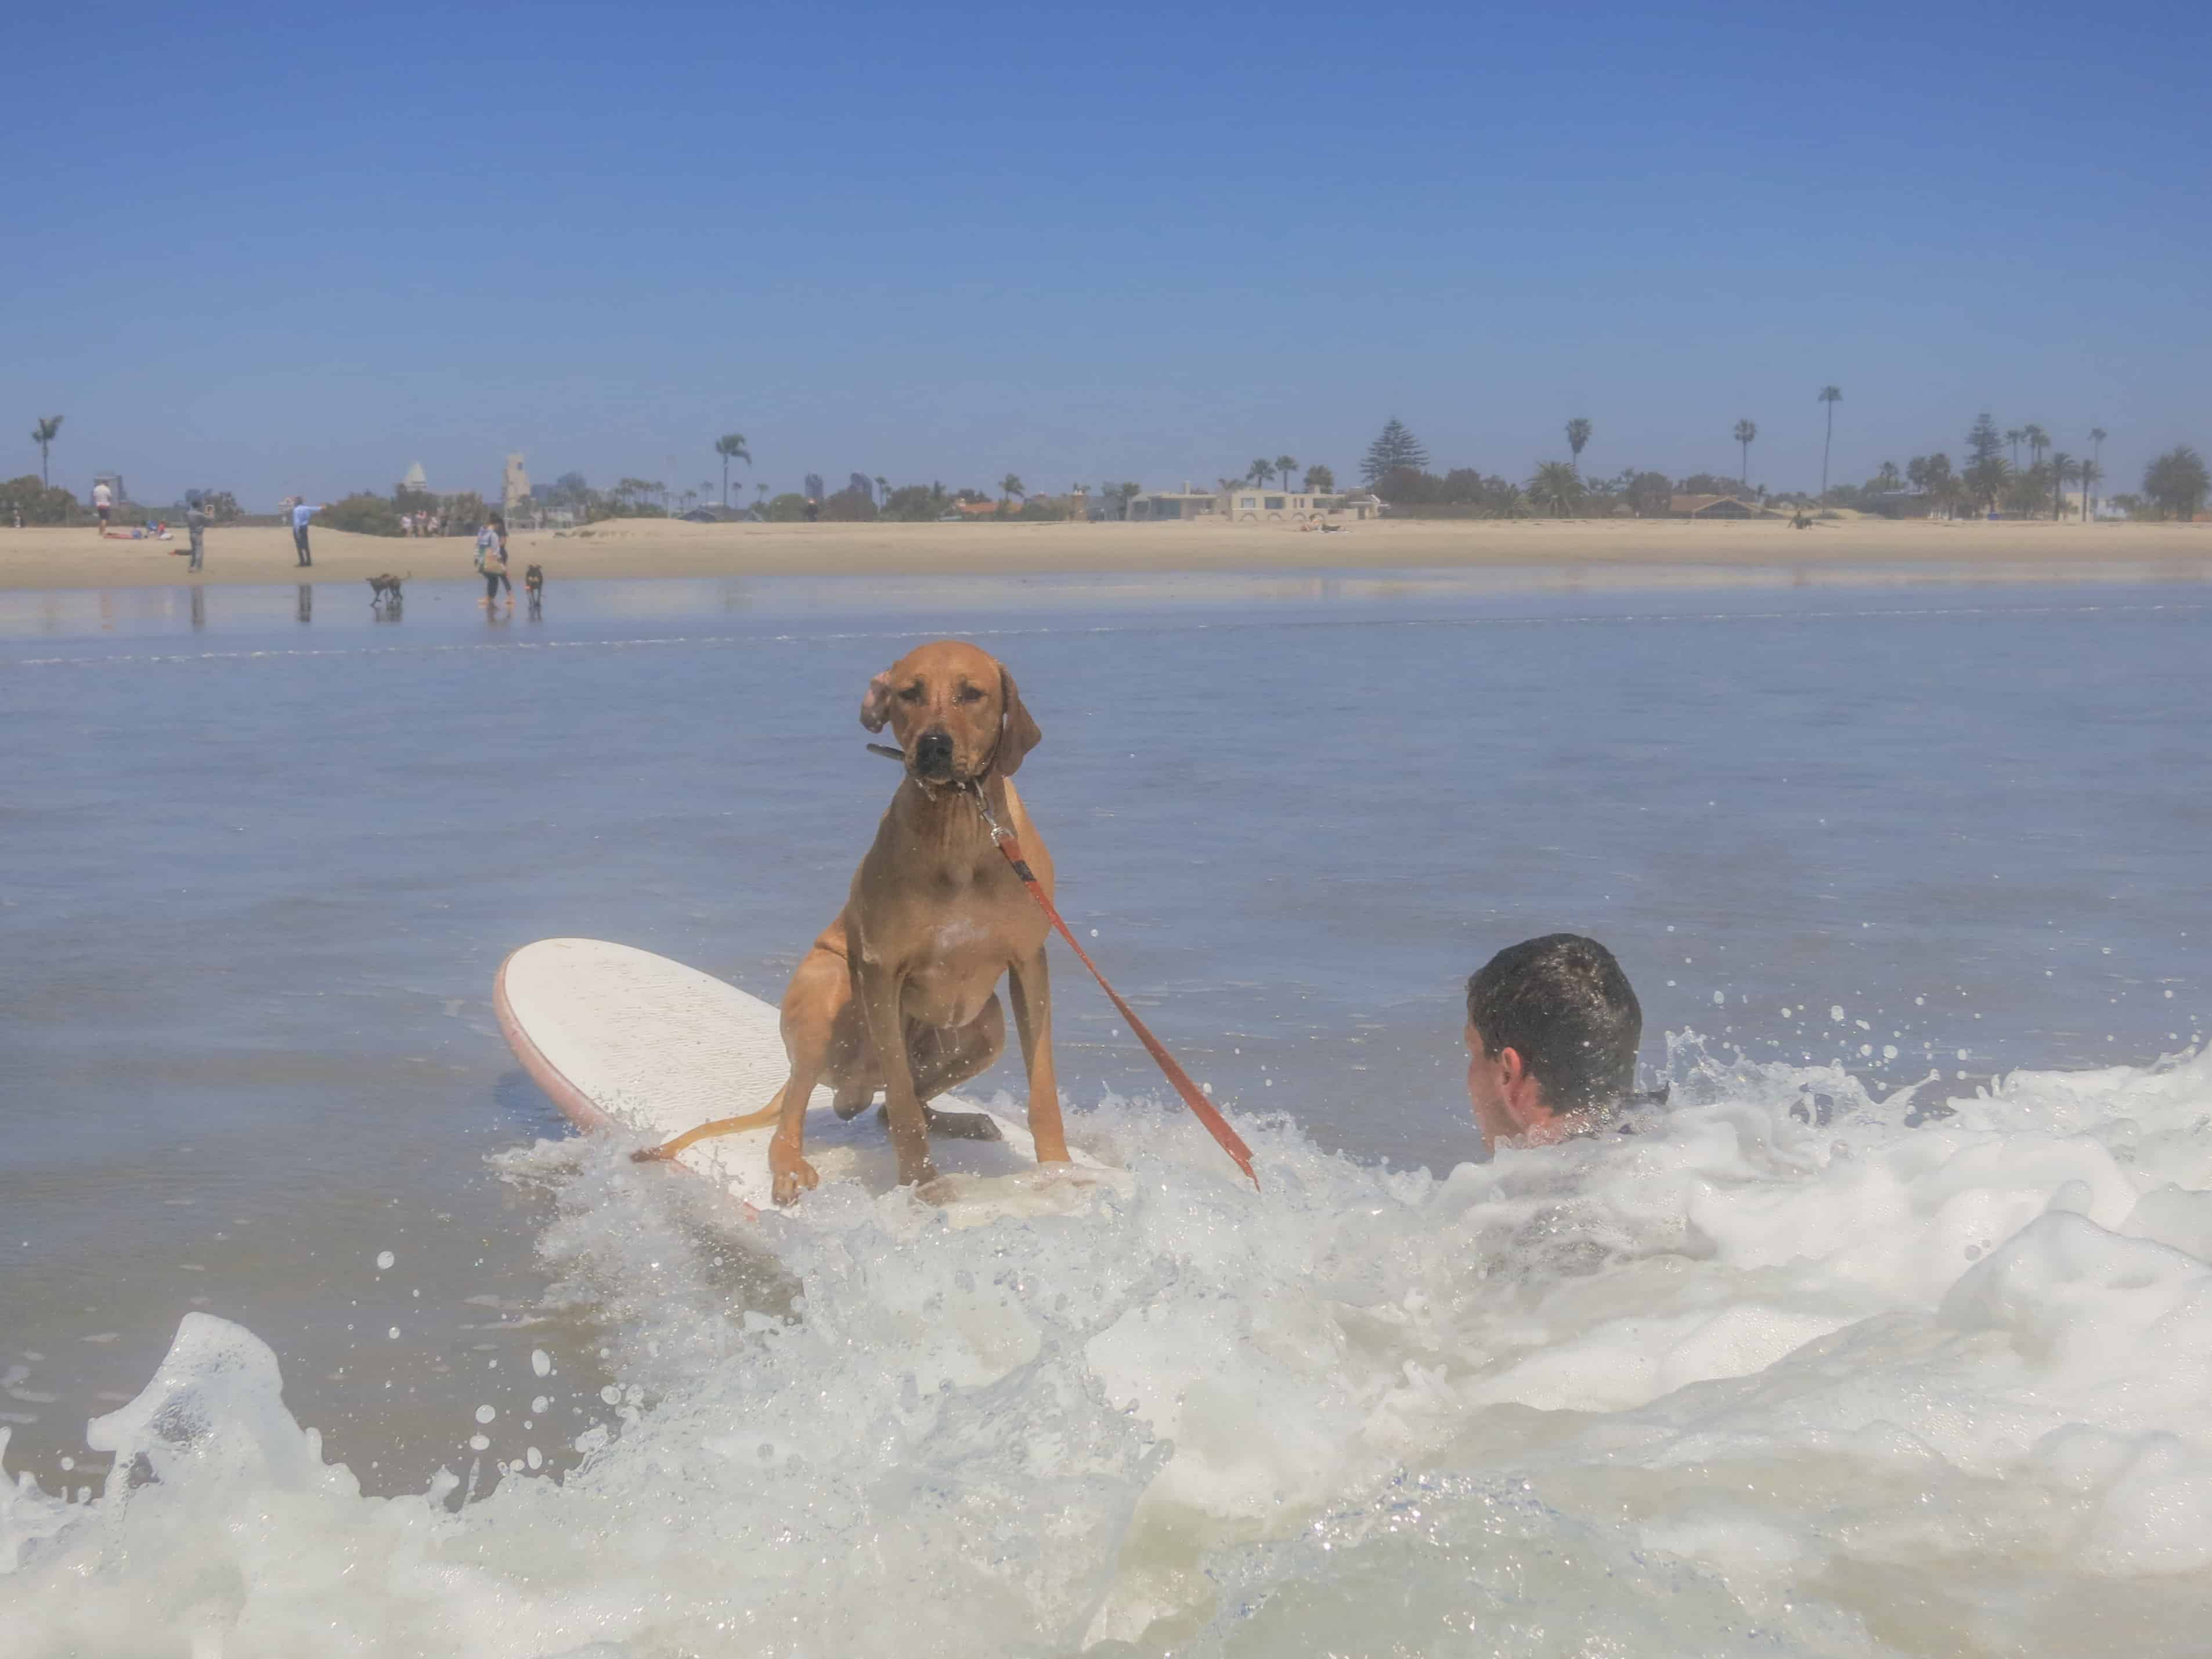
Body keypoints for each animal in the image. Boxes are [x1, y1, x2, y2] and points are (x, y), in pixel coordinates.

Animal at [632, 641, 1062, 1212]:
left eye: (973, 693)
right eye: (909, 693)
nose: (934, 745)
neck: (960, 825)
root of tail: (851, 1088)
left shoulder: (1029, 961)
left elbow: (1042, 1089)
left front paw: (1062, 1171)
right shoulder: (880, 971)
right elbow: (902, 1103)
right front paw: (921, 1184)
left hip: (984, 1029)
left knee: (887, 1105)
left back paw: (961, 1120)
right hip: (826, 989)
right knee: (805, 1112)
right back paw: (790, 1165)